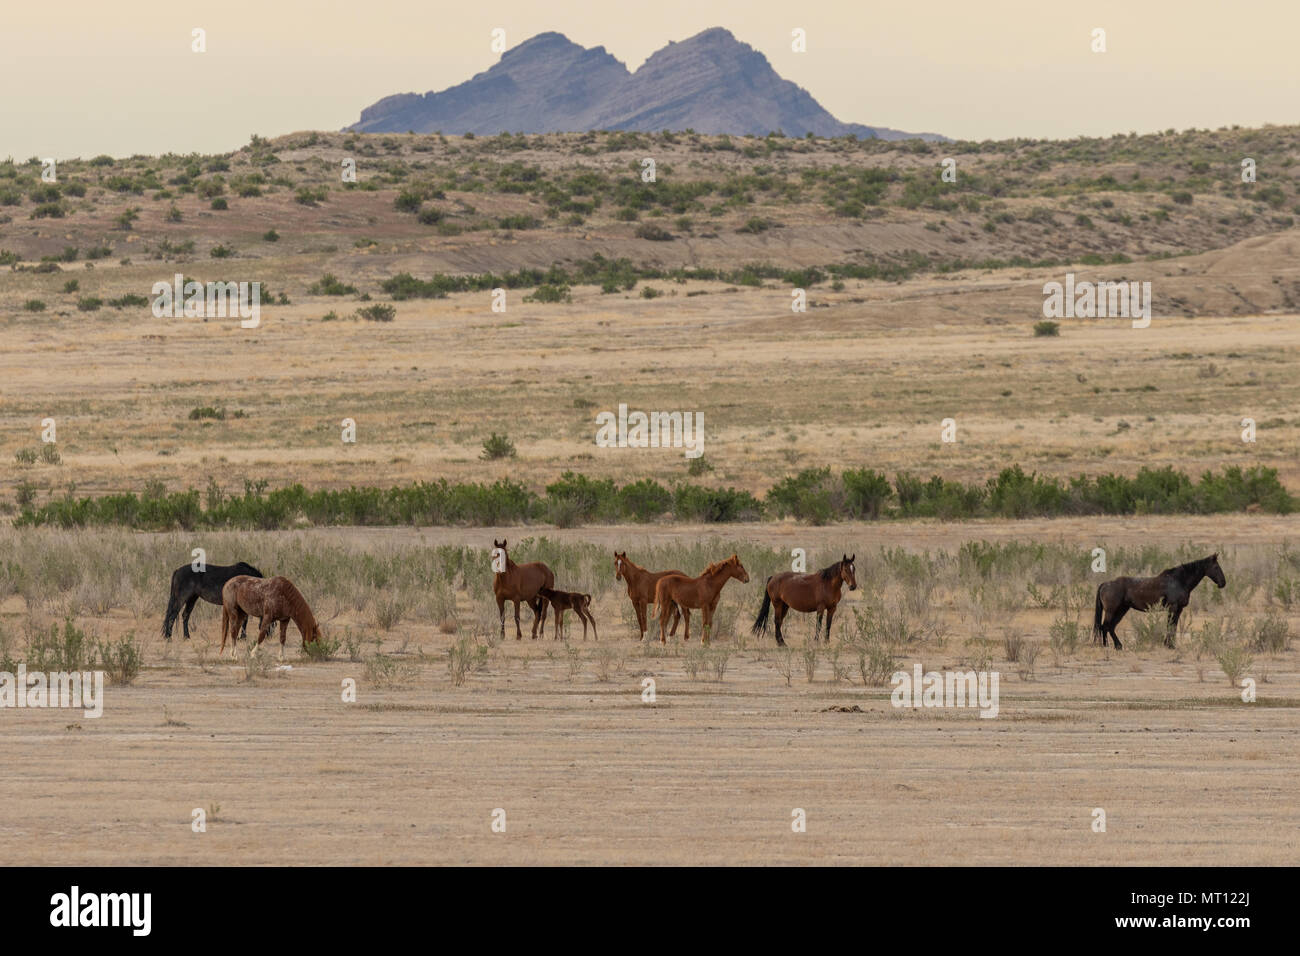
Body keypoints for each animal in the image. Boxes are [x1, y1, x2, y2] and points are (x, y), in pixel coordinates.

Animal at [1093, 554, 1226, 650]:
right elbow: (1170, 626)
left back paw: (1115, 646)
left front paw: (1170, 644)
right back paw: (1109, 646)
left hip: (1122, 610)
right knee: (1105, 626)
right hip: (1111, 611)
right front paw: (1169, 645)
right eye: (1216, 567)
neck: (1178, 581)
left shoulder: (1178, 609)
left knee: (1110, 627)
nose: (1223, 583)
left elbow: (1173, 626)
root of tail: (1105, 584)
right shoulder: (1173, 608)